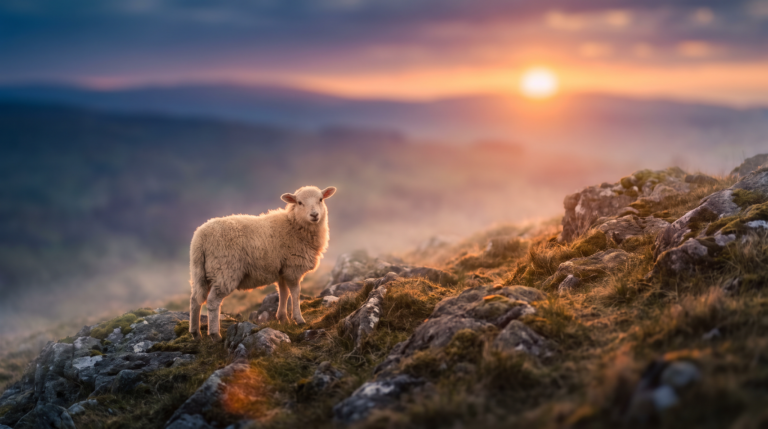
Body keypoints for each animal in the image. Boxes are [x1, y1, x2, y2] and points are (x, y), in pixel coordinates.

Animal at [189, 186, 337, 340]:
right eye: (300, 202)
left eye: (321, 199)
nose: (314, 215)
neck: (293, 225)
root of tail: (200, 238)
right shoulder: (293, 268)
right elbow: (295, 293)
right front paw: (299, 319)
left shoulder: (282, 270)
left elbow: (284, 293)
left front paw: (283, 318)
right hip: (225, 271)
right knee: (212, 301)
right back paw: (215, 334)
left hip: (200, 272)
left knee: (195, 300)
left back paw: (195, 333)